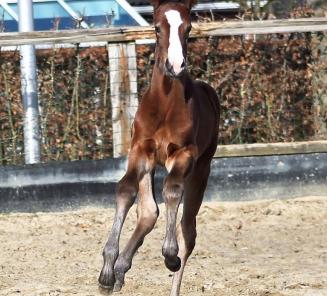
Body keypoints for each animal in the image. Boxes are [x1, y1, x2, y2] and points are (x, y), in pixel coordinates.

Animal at [98, 1, 219, 294]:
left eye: (189, 28)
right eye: (156, 27)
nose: (175, 65)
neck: (164, 105)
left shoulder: (184, 154)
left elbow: (172, 191)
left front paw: (169, 254)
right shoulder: (140, 151)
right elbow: (125, 190)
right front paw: (107, 271)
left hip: (202, 169)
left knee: (188, 230)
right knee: (149, 212)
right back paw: (120, 269)